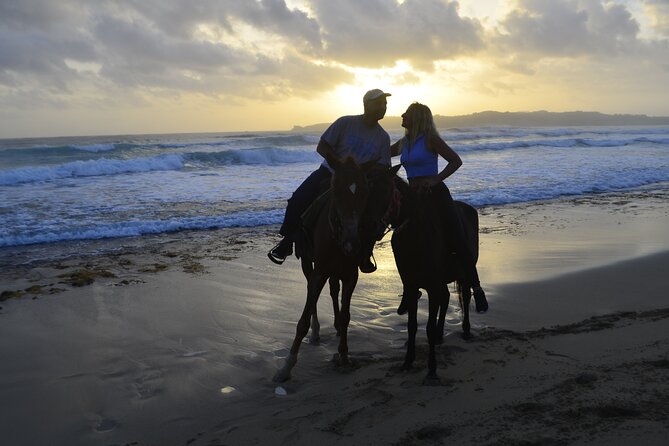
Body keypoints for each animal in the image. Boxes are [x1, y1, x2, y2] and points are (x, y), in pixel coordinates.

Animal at [274, 155, 400, 382]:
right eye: (337, 190)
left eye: (366, 192)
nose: (352, 243)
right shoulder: (319, 272)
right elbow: (303, 320)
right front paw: (286, 367)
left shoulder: (351, 275)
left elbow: (347, 314)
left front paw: (343, 354)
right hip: (308, 263)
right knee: (312, 293)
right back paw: (316, 332)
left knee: (334, 290)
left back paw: (337, 325)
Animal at [392, 179, 480, 382]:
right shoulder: (412, 286)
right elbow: (412, 326)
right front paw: (407, 361)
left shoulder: (432, 286)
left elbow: (429, 328)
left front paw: (432, 369)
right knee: (446, 298)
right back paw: (441, 334)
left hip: (464, 271)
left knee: (465, 295)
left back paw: (466, 330)